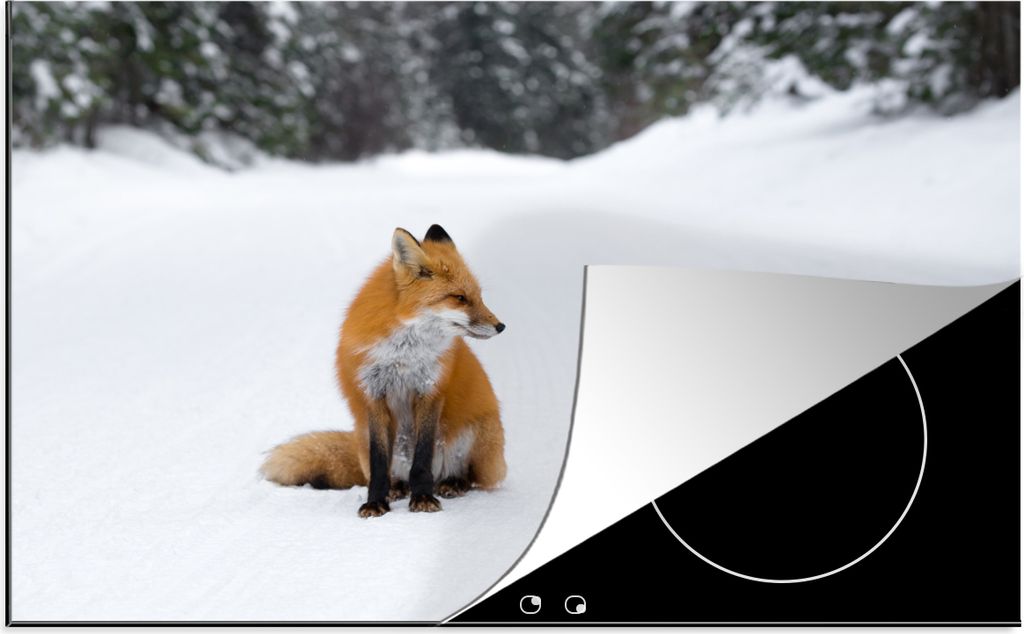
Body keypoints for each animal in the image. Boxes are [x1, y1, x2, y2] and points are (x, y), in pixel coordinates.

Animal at [261, 224, 507, 517]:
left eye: (479, 297)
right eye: (460, 298)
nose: (501, 326)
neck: (403, 355)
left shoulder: (429, 390)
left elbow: (422, 458)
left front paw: (423, 498)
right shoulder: (373, 393)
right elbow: (379, 464)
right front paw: (376, 502)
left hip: (475, 436)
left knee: (469, 477)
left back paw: (451, 483)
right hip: (365, 435)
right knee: (391, 473)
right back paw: (397, 488)